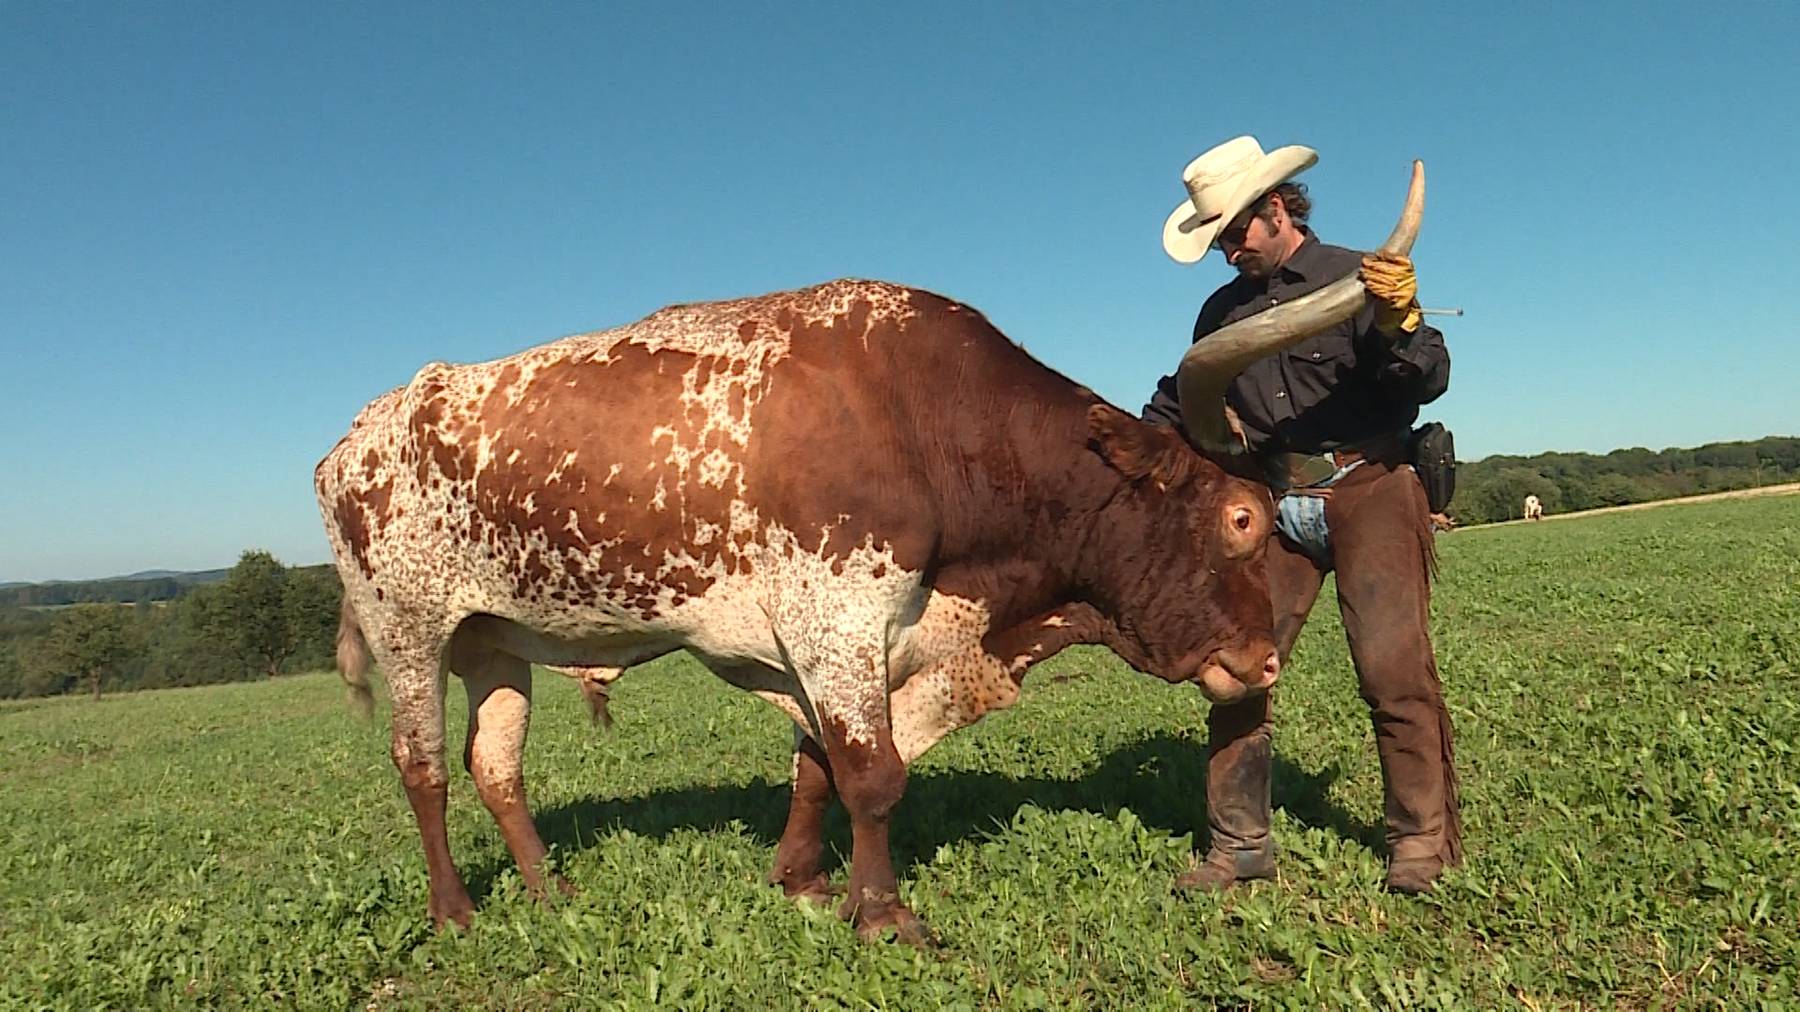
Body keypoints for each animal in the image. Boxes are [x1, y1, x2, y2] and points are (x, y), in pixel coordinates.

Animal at [316, 167, 1425, 936]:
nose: (1265, 661)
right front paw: (883, 913)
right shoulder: (837, 617)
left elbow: (819, 764)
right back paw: (456, 911)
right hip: (409, 628)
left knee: (494, 764)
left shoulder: (840, 639)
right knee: (422, 766)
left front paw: (805, 881)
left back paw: (550, 891)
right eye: (1239, 519)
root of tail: (356, 437)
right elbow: (874, 773)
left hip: (495, 639)